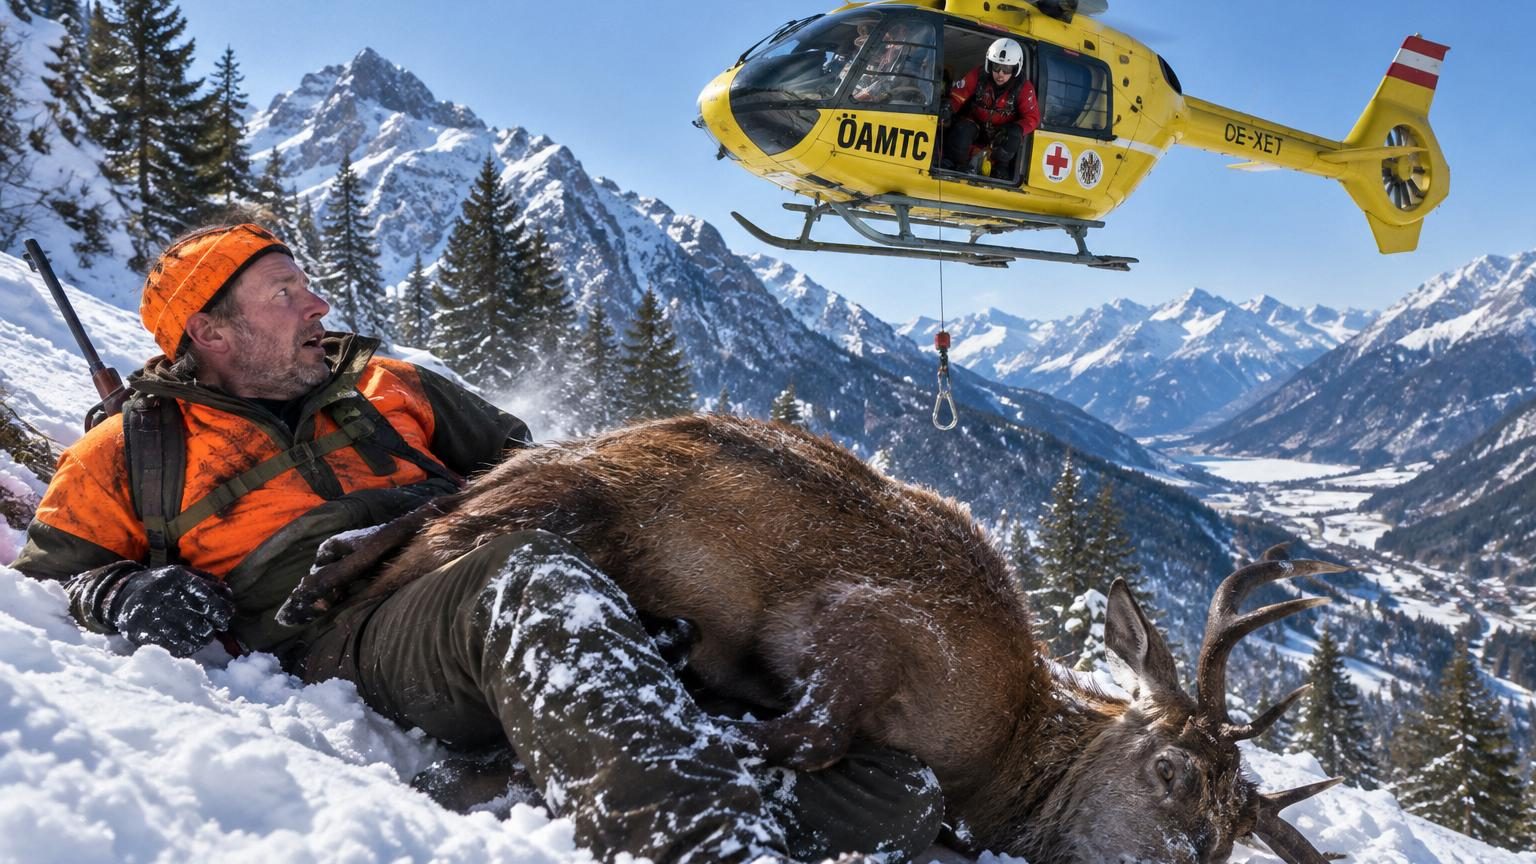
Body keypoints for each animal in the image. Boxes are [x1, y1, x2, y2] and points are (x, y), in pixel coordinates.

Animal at [279, 413, 1345, 864]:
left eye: (1232, 844)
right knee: (417, 549)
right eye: (1170, 770)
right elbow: (800, 735)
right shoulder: (872, 626)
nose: (1178, 856)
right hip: (569, 502)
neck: (1001, 755)